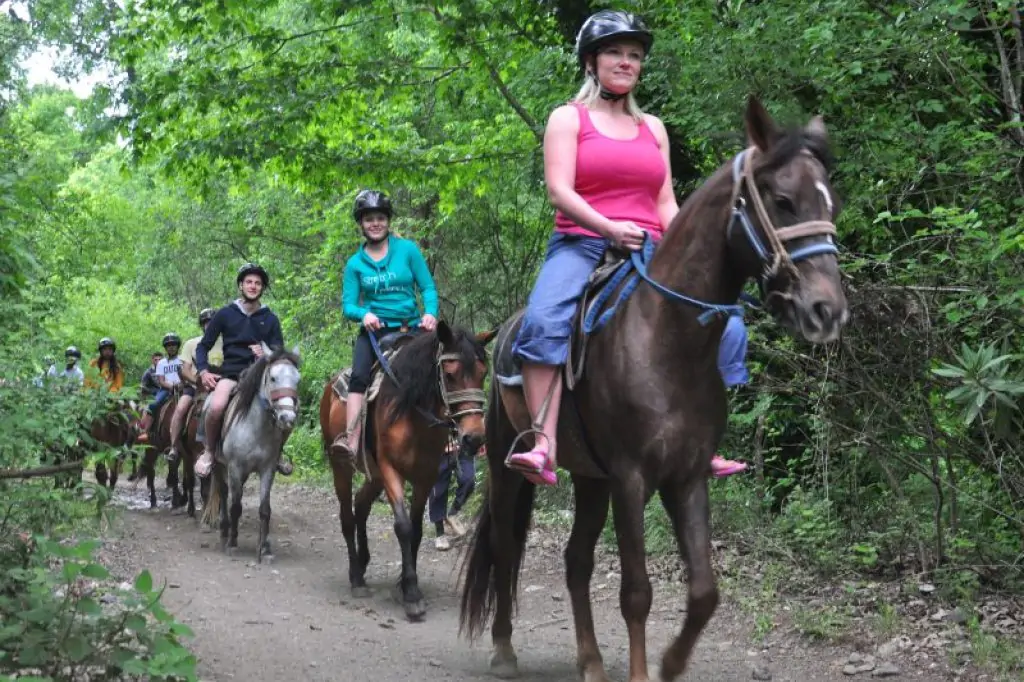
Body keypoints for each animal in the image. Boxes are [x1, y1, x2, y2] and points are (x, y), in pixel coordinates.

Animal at [197, 346, 299, 561]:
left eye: (297, 379)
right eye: (273, 378)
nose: (287, 418)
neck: (256, 427)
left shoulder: (268, 469)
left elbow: (265, 509)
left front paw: (264, 548)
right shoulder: (235, 467)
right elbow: (235, 506)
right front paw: (232, 544)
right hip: (220, 465)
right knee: (224, 493)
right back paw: (224, 531)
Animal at [319, 321, 495, 618]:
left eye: (483, 373)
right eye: (450, 374)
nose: (474, 438)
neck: (412, 411)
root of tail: (330, 386)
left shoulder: (426, 475)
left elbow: (417, 528)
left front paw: (404, 584)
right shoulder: (391, 470)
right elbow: (402, 526)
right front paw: (411, 593)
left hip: (374, 475)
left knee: (361, 505)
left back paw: (363, 563)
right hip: (341, 466)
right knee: (346, 515)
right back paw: (356, 577)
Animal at [460, 96, 851, 679]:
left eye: (832, 201)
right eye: (782, 200)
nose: (827, 310)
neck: (668, 342)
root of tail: (506, 330)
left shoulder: (685, 477)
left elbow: (705, 592)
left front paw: (669, 663)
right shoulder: (631, 478)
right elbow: (636, 593)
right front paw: (645, 670)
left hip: (590, 478)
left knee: (576, 561)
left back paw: (591, 662)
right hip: (511, 467)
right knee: (507, 547)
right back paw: (505, 649)